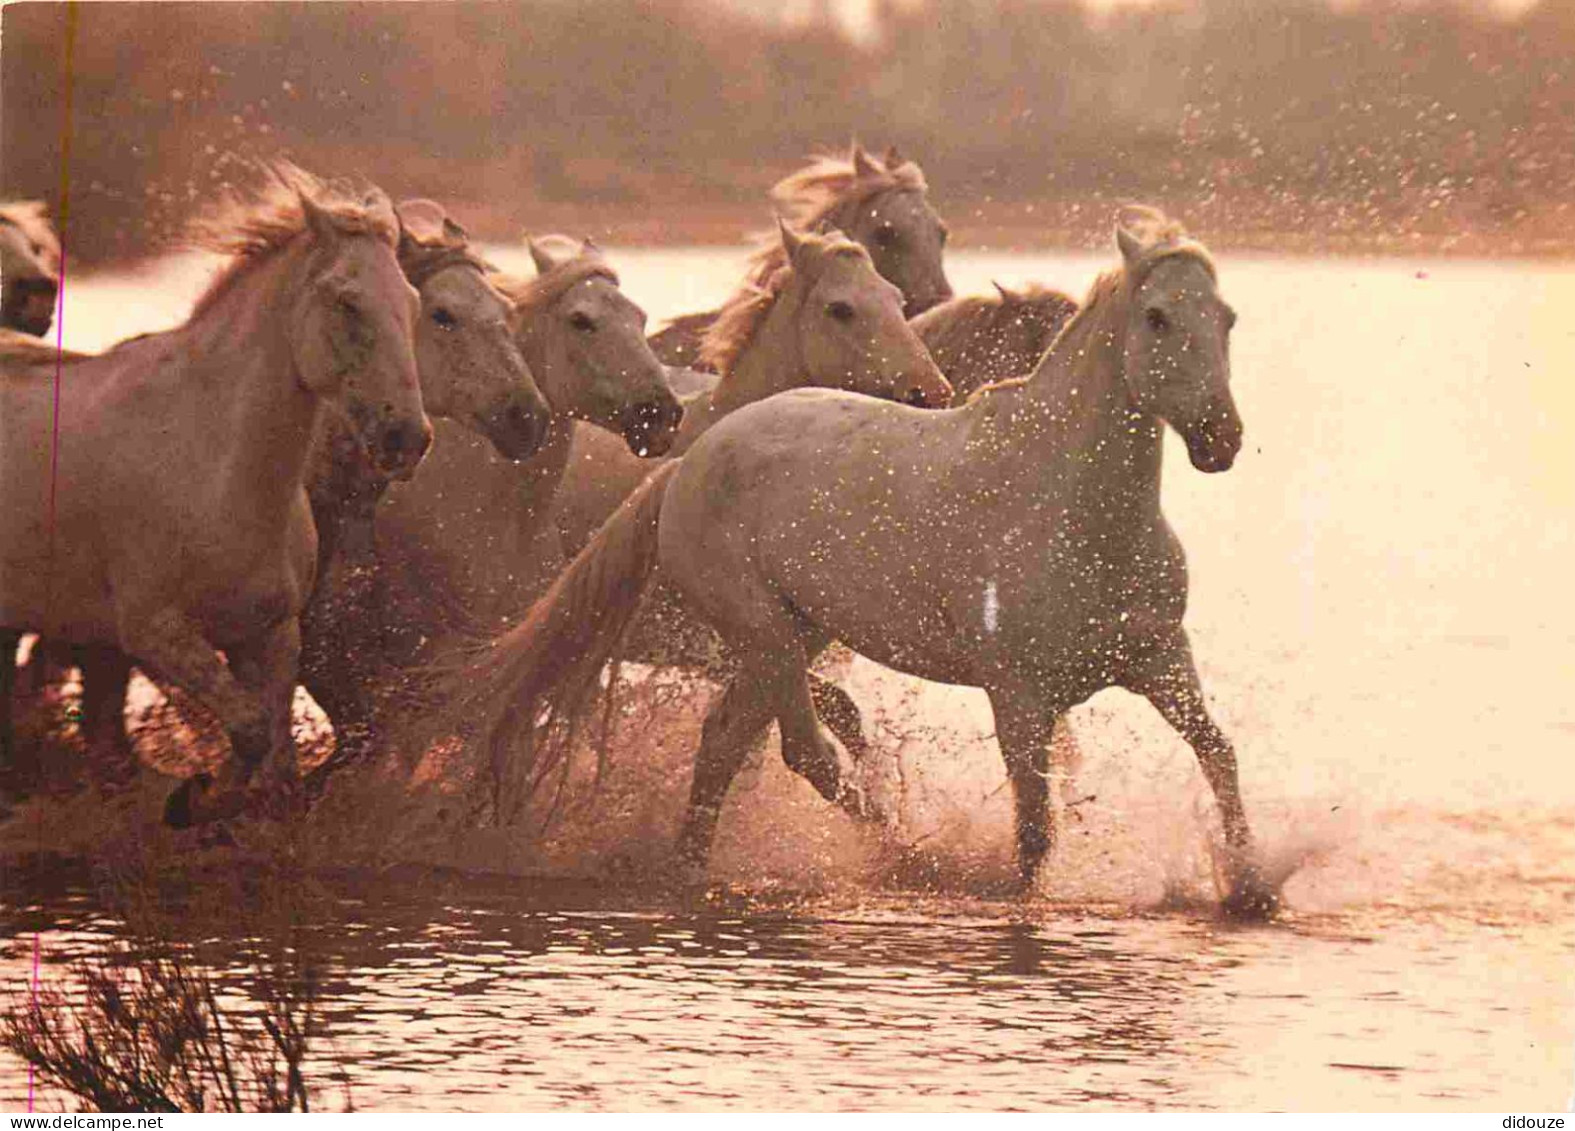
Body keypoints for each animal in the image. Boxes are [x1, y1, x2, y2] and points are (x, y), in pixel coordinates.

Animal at [0, 168, 431, 825]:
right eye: (347, 302)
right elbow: (250, 732)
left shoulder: (270, 634)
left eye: (411, 304)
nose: (407, 437)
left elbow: (275, 760)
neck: (219, 474)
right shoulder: (154, 632)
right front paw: (193, 799)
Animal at [437, 207, 1272, 919]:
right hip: (764, 635)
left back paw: (690, 864)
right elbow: (1035, 825)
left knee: (724, 741)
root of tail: (686, 460)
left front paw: (1253, 890)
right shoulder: (1017, 694)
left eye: (1226, 317)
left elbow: (1218, 752)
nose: (1220, 438)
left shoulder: (1158, 658)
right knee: (801, 750)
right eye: (1157, 317)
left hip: (791, 638)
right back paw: (904, 859)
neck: (1071, 506)